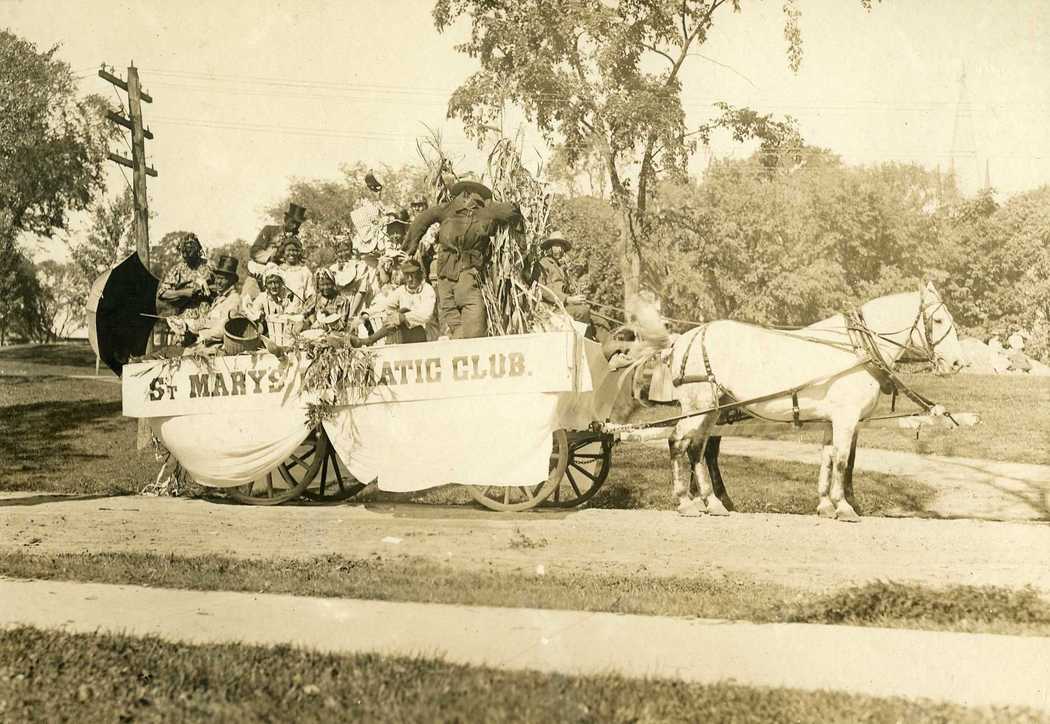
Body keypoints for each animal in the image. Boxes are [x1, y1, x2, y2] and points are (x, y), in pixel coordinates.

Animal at [630, 281, 965, 518]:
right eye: (937, 320)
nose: (957, 363)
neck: (856, 348)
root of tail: (684, 339)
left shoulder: (833, 421)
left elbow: (829, 459)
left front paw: (826, 505)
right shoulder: (846, 419)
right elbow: (843, 460)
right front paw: (845, 507)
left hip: (712, 411)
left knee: (698, 450)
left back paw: (713, 503)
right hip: (697, 409)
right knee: (678, 443)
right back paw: (686, 502)